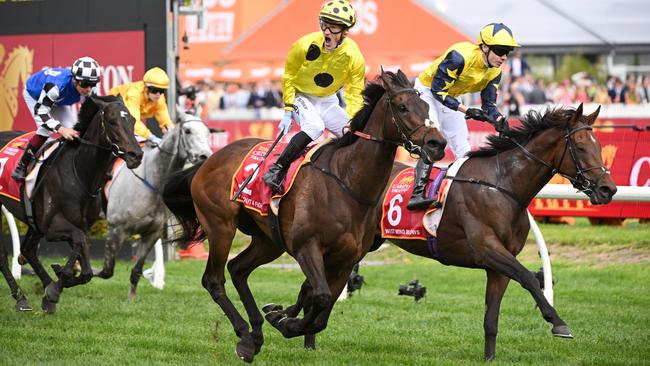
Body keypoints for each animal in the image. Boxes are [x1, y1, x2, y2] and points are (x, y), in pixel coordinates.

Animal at [0, 96, 142, 314]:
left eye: (133, 120)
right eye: (112, 122)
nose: (136, 155)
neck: (79, 174)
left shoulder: (80, 225)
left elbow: (86, 270)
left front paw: (53, 287)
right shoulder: (51, 226)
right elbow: (78, 247)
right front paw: (55, 286)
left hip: (34, 223)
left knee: (28, 250)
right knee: (4, 256)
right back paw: (21, 298)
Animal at [95, 112, 210, 300]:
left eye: (207, 132)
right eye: (187, 131)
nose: (205, 156)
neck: (151, 180)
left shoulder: (152, 233)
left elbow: (136, 271)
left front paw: (132, 299)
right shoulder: (117, 230)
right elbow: (105, 270)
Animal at [162, 70, 446, 362]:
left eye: (427, 107)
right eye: (402, 107)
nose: (437, 144)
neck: (347, 183)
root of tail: (208, 161)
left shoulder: (346, 260)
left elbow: (322, 313)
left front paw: (282, 318)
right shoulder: (306, 247)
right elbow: (319, 296)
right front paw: (285, 322)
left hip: (269, 241)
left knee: (238, 269)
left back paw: (256, 333)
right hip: (221, 226)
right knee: (214, 280)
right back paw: (245, 337)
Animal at [288, 103, 612, 360]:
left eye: (599, 146)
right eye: (580, 147)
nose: (608, 189)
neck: (502, 185)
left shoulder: (496, 266)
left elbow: (492, 318)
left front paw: (490, 358)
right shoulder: (488, 250)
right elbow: (529, 278)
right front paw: (558, 323)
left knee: (312, 286)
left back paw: (300, 332)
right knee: (316, 285)